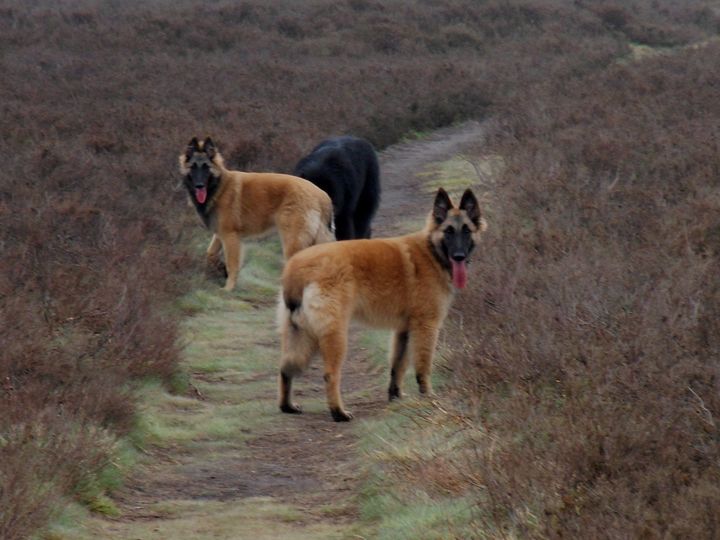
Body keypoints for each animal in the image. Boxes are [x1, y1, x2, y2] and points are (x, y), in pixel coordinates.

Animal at [180, 139, 338, 292]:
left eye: (206, 167)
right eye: (193, 167)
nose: (199, 185)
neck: (219, 186)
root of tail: (322, 195)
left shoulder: (230, 237)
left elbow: (232, 265)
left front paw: (228, 287)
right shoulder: (220, 234)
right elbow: (210, 254)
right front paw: (220, 269)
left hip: (293, 241)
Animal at [278, 188, 486, 420]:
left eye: (466, 231)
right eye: (449, 232)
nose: (459, 256)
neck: (431, 250)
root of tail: (296, 266)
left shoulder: (404, 330)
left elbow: (398, 365)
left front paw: (396, 397)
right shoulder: (426, 327)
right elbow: (423, 366)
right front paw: (428, 397)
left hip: (300, 334)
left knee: (285, 369)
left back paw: (287, 406)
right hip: (334, 336)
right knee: (330, 374)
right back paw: (338, 412)